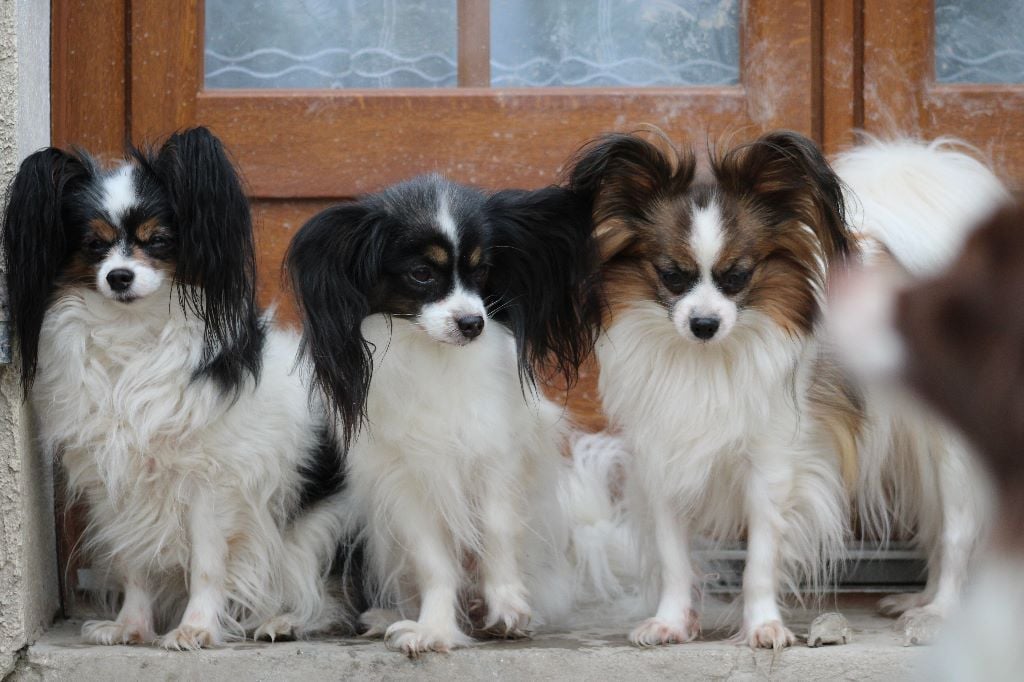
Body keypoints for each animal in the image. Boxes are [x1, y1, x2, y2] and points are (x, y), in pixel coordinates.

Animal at [2, 125, 350, 647]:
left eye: (159, 240)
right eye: (94, 245)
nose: (119, 276)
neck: (131, 332)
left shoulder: (210, 482)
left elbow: (207, 565)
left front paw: (195, 630)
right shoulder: (116, 481)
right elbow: (134, 562)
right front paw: (131, 627)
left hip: (320, 532)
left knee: (335, 596)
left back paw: (285, 621)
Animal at [284, 174, 598, 655]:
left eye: (481, 271)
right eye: (421, 274)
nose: (472, 323)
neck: (435, 356)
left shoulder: (494, 459)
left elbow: (497, 534)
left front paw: (507, 608)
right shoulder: (408, 481)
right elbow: (433, 562)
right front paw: (433, 629)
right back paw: (385, 616)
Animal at [569, 130, 856, 647]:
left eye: (737, 276)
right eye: (671, 275)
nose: (704, 324)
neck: (704, 363)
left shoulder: (769, 469)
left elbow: (759, 561)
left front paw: (763, 626)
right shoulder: (664, 464)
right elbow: (673, 559)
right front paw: (670, 621)